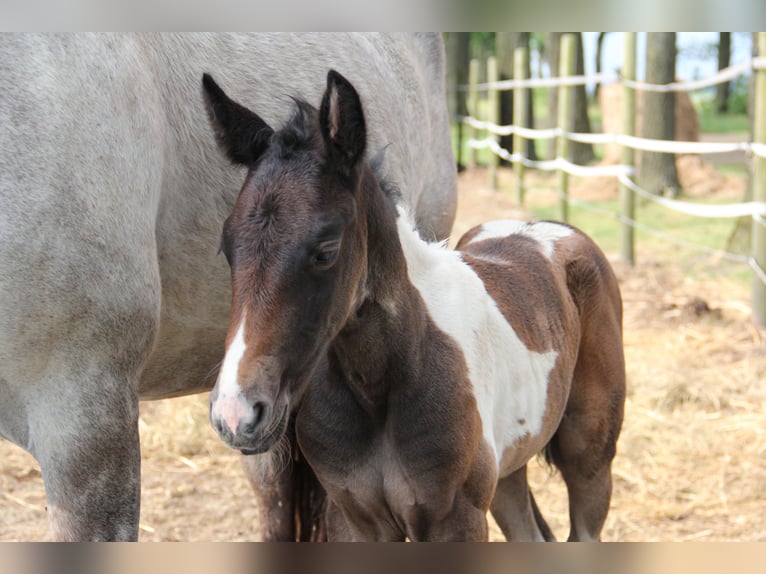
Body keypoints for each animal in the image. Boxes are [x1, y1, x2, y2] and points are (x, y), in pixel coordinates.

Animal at [206, 70, 632, 544]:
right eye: (227, 247)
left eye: (325, 250)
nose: (236, 413)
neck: (379, 387)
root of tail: (550, 228)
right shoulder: (356, 521)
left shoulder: (457, 520)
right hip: (507, 471)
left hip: (590, 455)